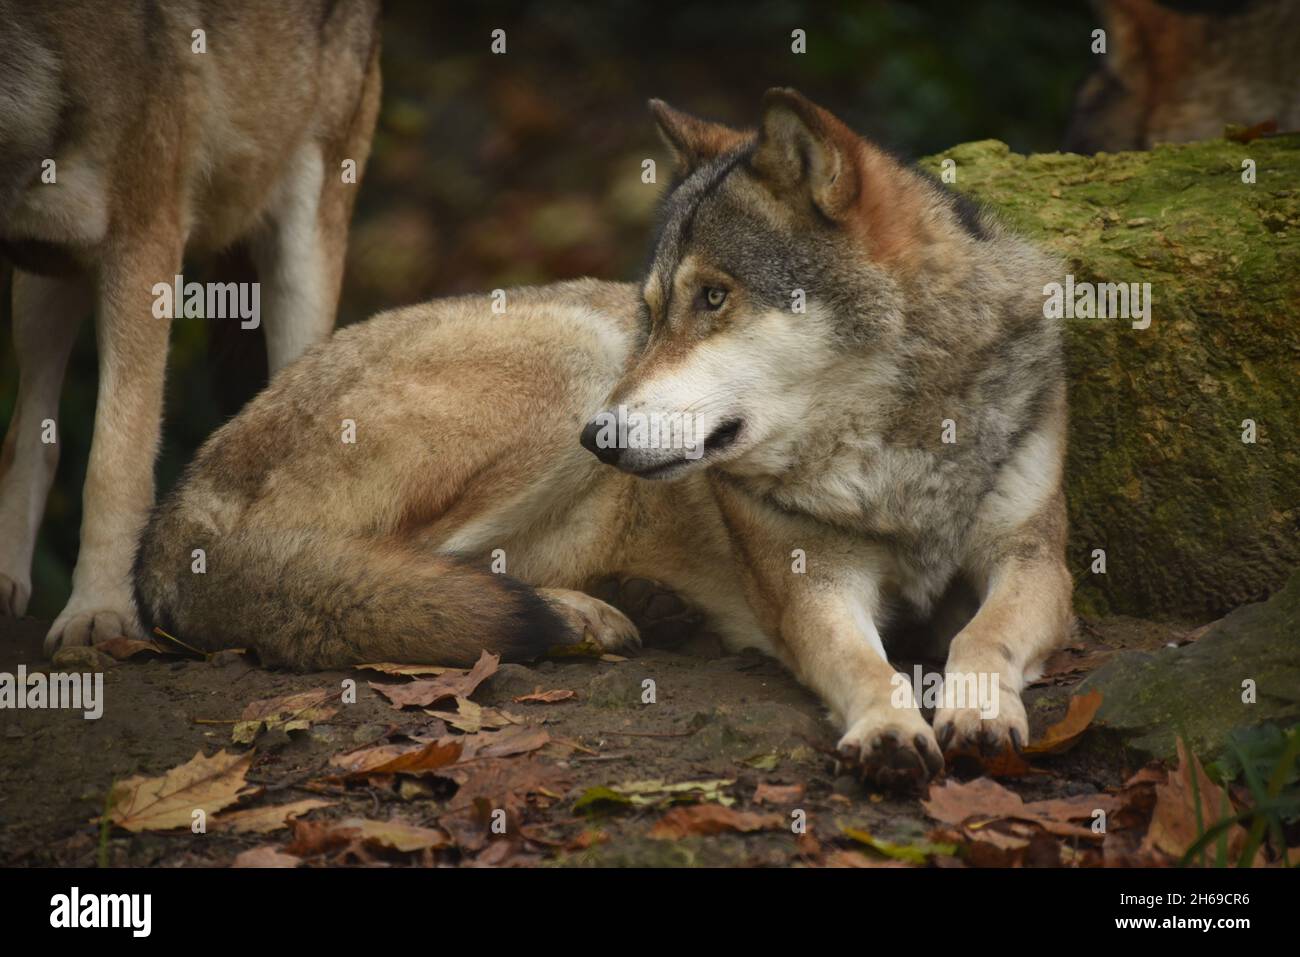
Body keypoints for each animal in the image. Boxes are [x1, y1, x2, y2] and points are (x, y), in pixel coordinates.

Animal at [0, 0, 382, 655]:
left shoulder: (145, 239)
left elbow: (115, 460)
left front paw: (100, 611)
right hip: (46, 276)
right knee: (29, 436)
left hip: (299, 244)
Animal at [131, 89, 1071, 785]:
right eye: (656, 310)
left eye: (714, 297)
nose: (601, 437)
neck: (899, 448)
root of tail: (182, 509)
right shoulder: (811, 587)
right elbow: (864, 661)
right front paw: (889, 727)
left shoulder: (1034, 560)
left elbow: (981, 634)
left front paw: (978, 708)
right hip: (575, 360)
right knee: (386, 575)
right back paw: (580, 613)